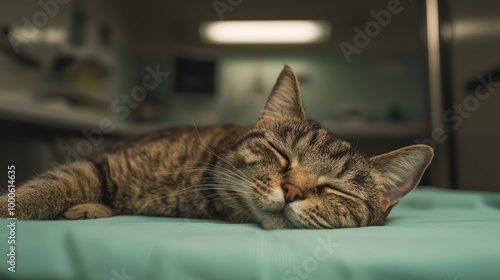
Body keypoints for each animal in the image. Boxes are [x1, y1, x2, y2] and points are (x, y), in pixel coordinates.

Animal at [0, 67, 434, 230]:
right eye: (281, 154)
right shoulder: (106, 163)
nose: (292, 190)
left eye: (335, 189)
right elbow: (46, 187)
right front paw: (9, 205)